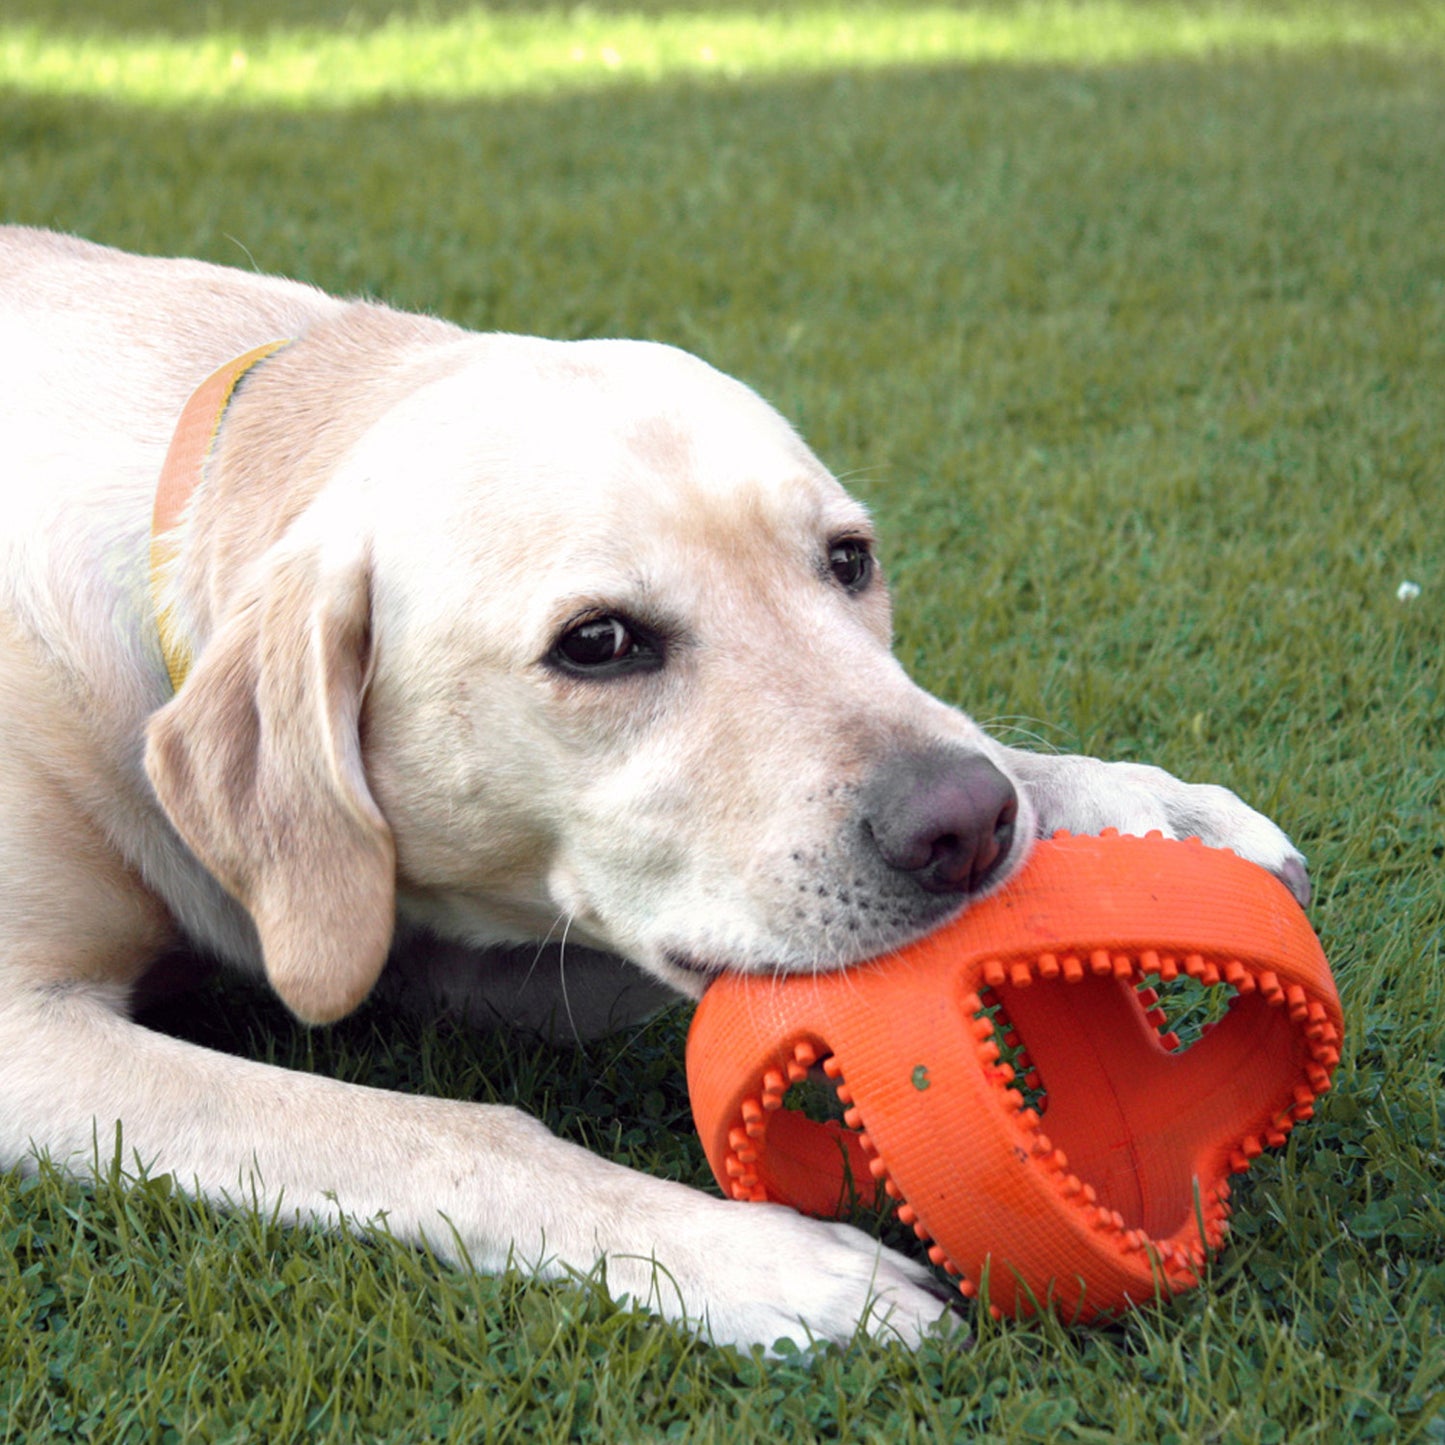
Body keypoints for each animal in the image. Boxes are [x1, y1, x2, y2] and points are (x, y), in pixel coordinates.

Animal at [0, 231, 1312, 1346]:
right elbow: (442, 1130)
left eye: (849, 560)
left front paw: (1136, 804)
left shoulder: (439, 935)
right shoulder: (35, 1039)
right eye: (598, 642)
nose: (967, 827)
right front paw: (760, 1258)